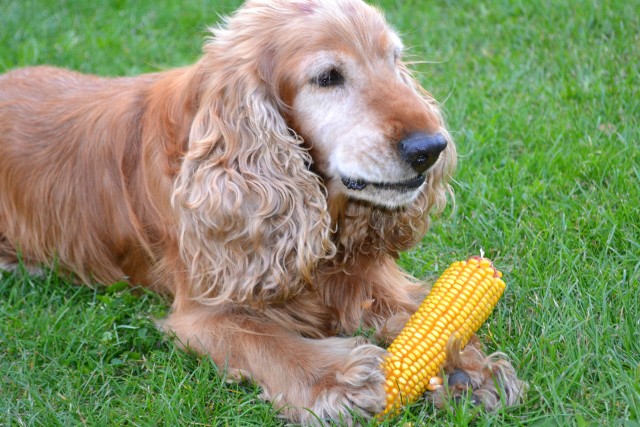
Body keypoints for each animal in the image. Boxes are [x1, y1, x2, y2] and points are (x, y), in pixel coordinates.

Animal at [0, 0, 524, 424]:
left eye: (395, 61)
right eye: (328, 77)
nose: (431, 148)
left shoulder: (359, 272)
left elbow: (420, 310)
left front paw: (467, 366)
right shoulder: (203, 311)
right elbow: (262, 339)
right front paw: (334, 378)